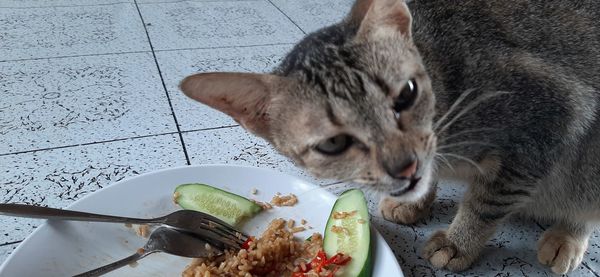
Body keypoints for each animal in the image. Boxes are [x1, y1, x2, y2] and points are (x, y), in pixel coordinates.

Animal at [178, 0, 600, 272]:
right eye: (332, 143)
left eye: (407, 94)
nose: (405, 166)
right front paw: (416, 203)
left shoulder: (550, 119)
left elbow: (486, 201)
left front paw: (458, 241)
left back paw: (568, 235)